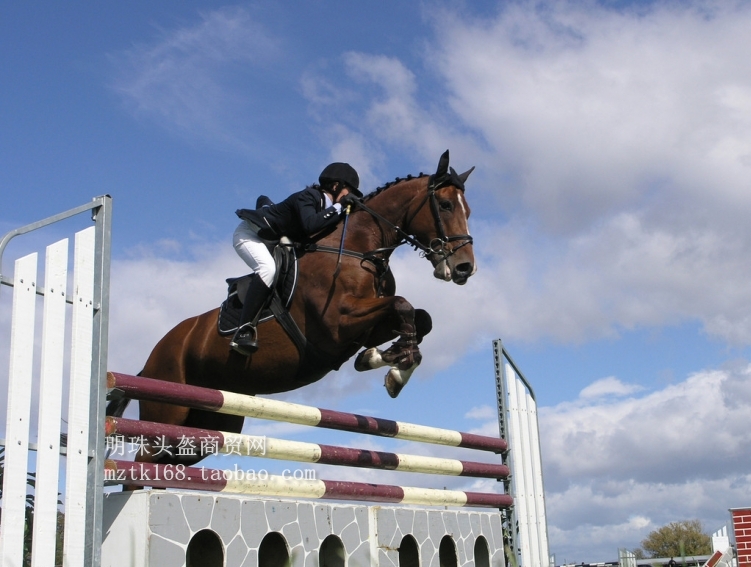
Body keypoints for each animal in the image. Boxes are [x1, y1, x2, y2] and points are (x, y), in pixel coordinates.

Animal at [111, 151, 476, 466]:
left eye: (468, 211)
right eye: (445, 205)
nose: (464, 268)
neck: (360, 249)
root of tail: (149, 361)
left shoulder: (364, 327)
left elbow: (420, 318)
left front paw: (383, 360)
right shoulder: (337, 324)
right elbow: (404, 306)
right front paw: (395, 370)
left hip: (207, 427)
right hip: (167, 409)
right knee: (140, 464)